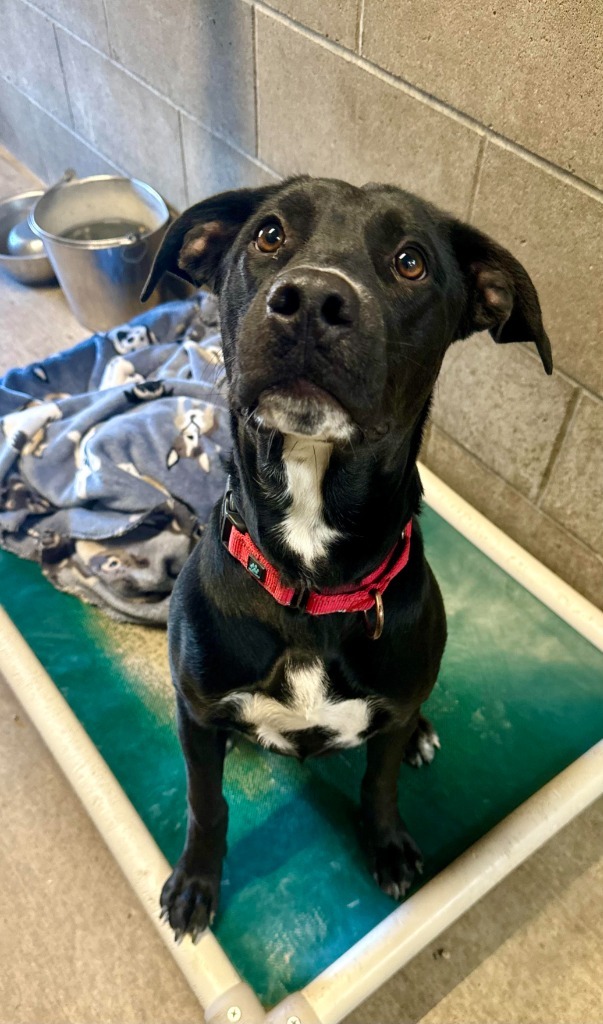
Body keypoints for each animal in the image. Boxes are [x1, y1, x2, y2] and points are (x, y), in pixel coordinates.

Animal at [141, 174, 548, 937]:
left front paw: (386, 845)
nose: (310, 301)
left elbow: (378, 783)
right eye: (268, 234)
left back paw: (419, 734)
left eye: (411, 261)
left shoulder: (388, 712)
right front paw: (195, 884)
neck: (310, 581)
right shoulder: (197, 714)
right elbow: (205, 804)